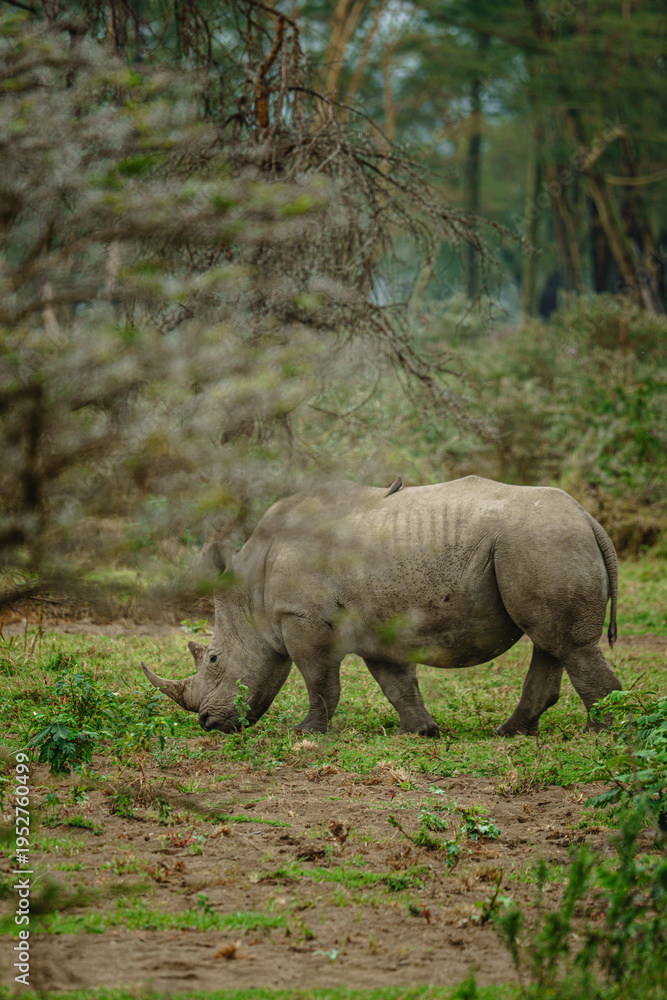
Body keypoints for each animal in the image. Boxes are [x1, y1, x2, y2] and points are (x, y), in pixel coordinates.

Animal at [142, 476, 622, 738]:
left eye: (214, 659)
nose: (208, 724)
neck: (251, 593)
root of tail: (589, 520)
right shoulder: (375, 626)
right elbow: (396, 682)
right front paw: (421, 731)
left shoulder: (301, 618)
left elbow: (320, 681)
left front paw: (306, 733)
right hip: (540, 544)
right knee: (550, 642)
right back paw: (510, 733)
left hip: (542, 541)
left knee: (566, 644)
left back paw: (603, 735)